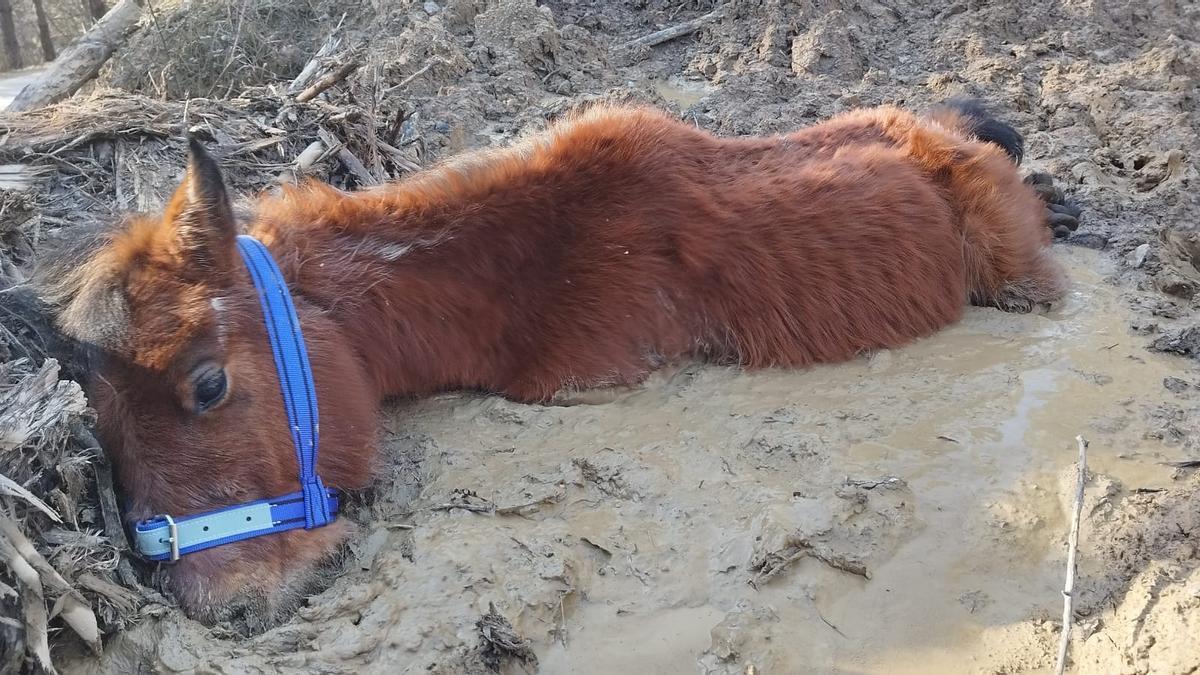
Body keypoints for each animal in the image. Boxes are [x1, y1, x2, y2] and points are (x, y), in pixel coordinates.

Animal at [39, 98, 1070, 624]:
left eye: (208, 383)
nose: (222, 603)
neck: (515, 262)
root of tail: (952, 134)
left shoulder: (589, 386)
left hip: (1021, 278)